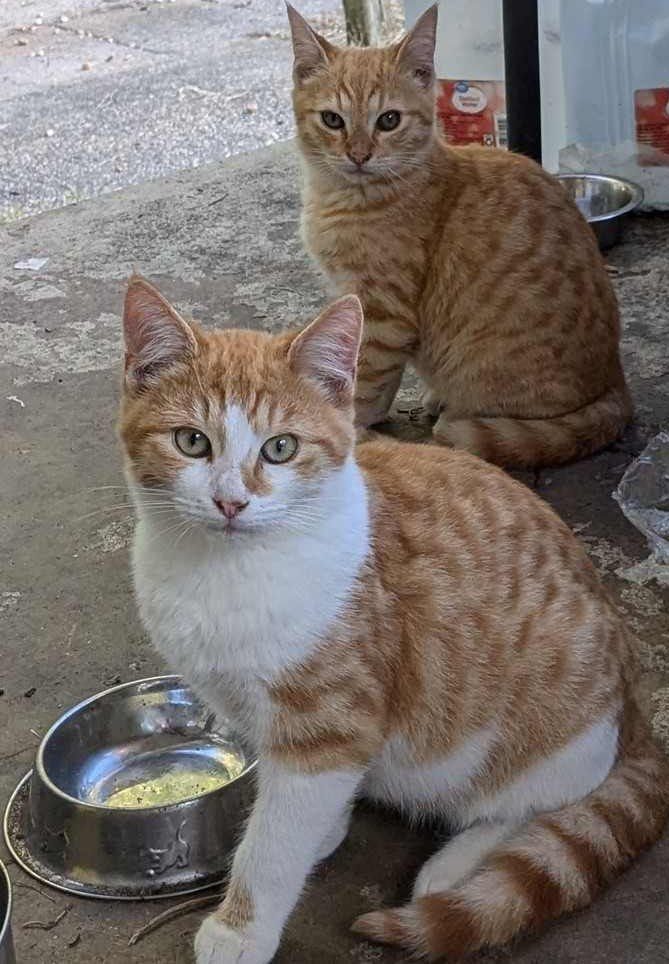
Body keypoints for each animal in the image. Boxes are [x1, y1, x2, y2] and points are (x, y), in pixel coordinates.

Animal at [121, 274, 668, 960]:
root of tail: (634, 701)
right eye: (192, 441)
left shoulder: (328, 724)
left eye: (281, 449)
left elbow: (274, 843)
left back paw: (461, 862)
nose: (230, 501)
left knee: (551, 797)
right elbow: (297, 807)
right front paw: (325, 831)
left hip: (552, 729)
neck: (223, 572)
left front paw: (241, 927)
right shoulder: (256, 711)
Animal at [288, 2, 632, 470]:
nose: (359, 155)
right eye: (332, 120)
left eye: (389, 120)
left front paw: (354, 426)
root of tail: (616, 378)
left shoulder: (385, 313)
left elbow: (368, 378)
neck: (343, 196)